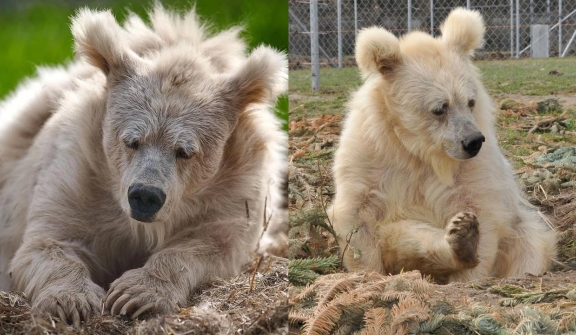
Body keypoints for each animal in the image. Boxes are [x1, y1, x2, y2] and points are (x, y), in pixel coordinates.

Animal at [0, 5, 288, 326]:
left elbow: (211, 246)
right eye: (132, 141)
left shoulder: (235, 190)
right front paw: (72, 300)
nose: (145, 197)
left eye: (184, 151)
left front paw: (134, 294)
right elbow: (48, 242)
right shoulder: (78, 174)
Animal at [330, 7, 556, 284]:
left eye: (470, 101)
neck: (418, 149)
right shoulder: (370, 154)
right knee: (401, 232)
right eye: (440, 108)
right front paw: (370, 274)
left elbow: (481, 207)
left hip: (520, 229)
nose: (473, 141)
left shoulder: (474, 167)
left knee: (529, 244)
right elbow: (357, 214)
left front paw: (468, 269)